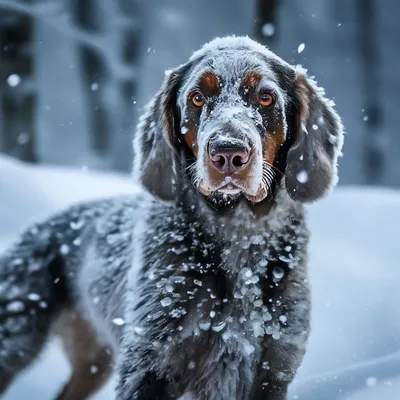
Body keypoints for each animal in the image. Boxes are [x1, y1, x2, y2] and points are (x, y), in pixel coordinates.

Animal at [0, 36, 344, 398]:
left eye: (266, 97)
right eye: (197, 97)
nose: (228, 152)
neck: (237, 231)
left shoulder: (273, 367)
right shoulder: (150, 363)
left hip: (92, 360)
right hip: (17, 336)